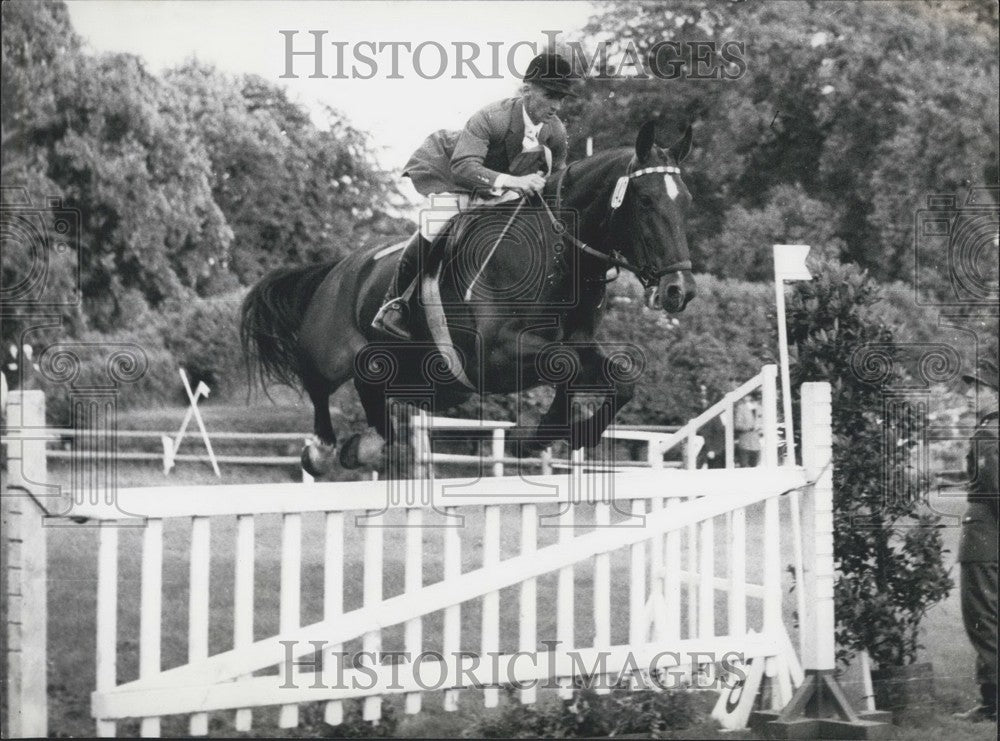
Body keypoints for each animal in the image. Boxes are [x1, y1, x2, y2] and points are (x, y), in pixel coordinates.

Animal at [241, 118, 696, 472]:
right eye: (645, 200)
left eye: (687, 201)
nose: (681, 290)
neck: (556, 259)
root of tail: (339, 266)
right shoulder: (493, 354)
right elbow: (566, 365)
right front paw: (539, 437)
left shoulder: (579, 343)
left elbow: (620, 379)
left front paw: (565, 434)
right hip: (329, 353)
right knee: (318, 388)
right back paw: (322, 451)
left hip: (405, 370)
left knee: (372, 392)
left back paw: (367, 445)